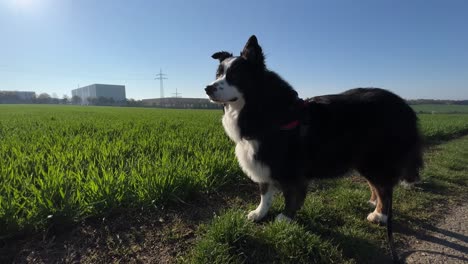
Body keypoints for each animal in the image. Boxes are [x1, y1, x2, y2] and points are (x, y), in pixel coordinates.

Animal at [203, 34, 422, 258]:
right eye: (218, 74)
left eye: (235, 76)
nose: (208, 88)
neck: (259, 106)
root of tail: (406, 107)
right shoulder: (263, 161)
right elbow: (265, 192)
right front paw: (259, 213)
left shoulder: (288, 166)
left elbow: (291, 195)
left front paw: (285, 219)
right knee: (378, 186)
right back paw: (373, 203)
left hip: (375, 159)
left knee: (385, 189)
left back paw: (380, 215)